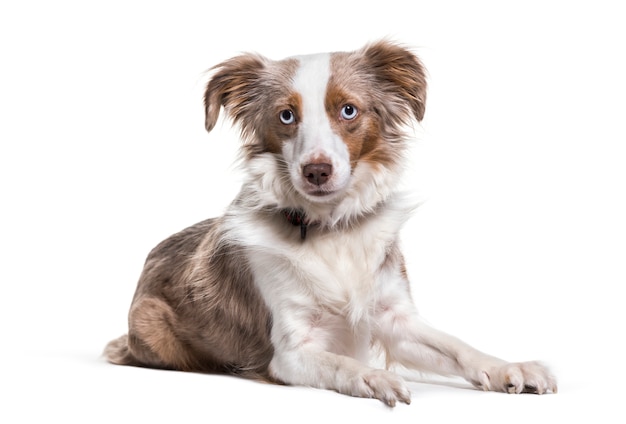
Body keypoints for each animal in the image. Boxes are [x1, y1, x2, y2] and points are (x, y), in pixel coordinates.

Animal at [105, 40, 560, 408]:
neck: (332, 230)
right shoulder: (291, 352)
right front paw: (376, 377)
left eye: (348, 110)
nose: (316, 171)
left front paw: (509, 368)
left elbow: (458, 347)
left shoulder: (397, 320)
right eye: (286, 116)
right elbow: (342, 365)